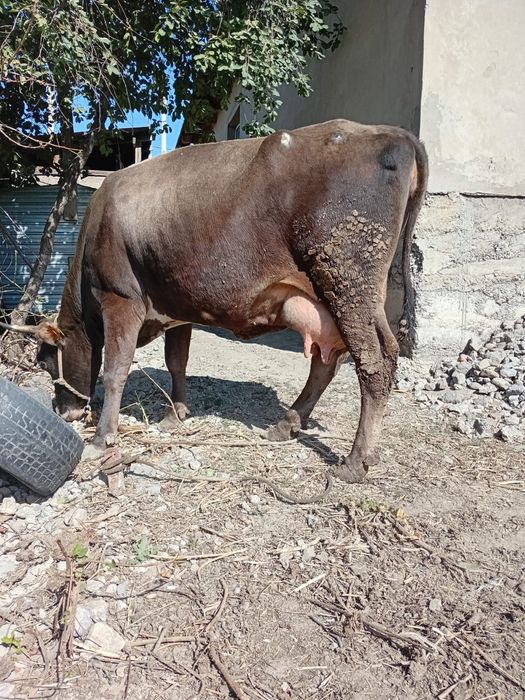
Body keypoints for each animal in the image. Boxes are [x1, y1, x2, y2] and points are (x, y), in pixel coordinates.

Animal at [4, 120, 428, 483]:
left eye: (44, 361)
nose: (64, 411)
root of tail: (390, 133)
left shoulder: (121, 299)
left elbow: (115, 371)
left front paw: (101, 437)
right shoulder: (177, 308)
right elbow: (176, 362)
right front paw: (175, 415)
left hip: (349, 281)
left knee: (374, 364)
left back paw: (354, 462)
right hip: (337, 299)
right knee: (328, 361)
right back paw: (286, 425)